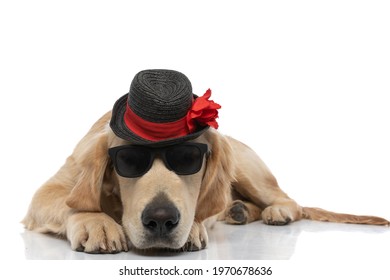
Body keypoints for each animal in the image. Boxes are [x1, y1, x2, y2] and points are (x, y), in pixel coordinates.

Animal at [22, 69, 388, 254]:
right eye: (129, 160)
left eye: (188, 158)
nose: (160, 220)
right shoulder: (48, 190)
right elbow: (71, 202)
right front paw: (96, 221)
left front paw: (195, 226)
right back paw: (239, 211)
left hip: (247, 169)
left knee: (291, 201)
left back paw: (273, 212)